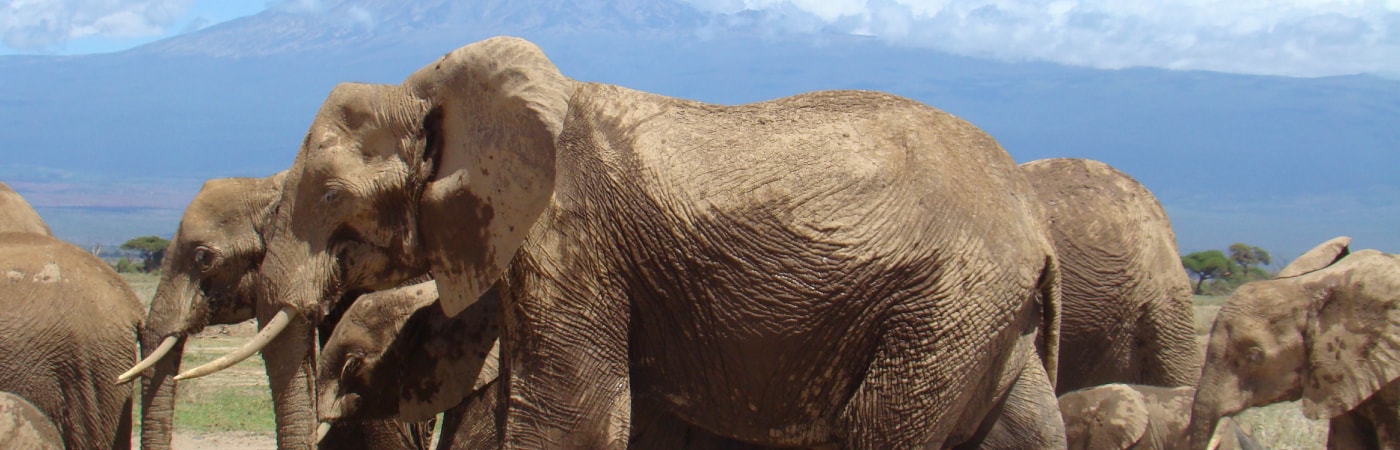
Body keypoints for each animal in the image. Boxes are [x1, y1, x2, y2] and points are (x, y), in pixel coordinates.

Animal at [191, 36, 1067, 448]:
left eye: (334, 197)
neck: (433, 85)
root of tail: (1036, 224)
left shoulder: (570, 241)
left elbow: (571, 417)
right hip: (981, 321)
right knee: (1024, 429)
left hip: (943, 308)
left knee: (881, 430)